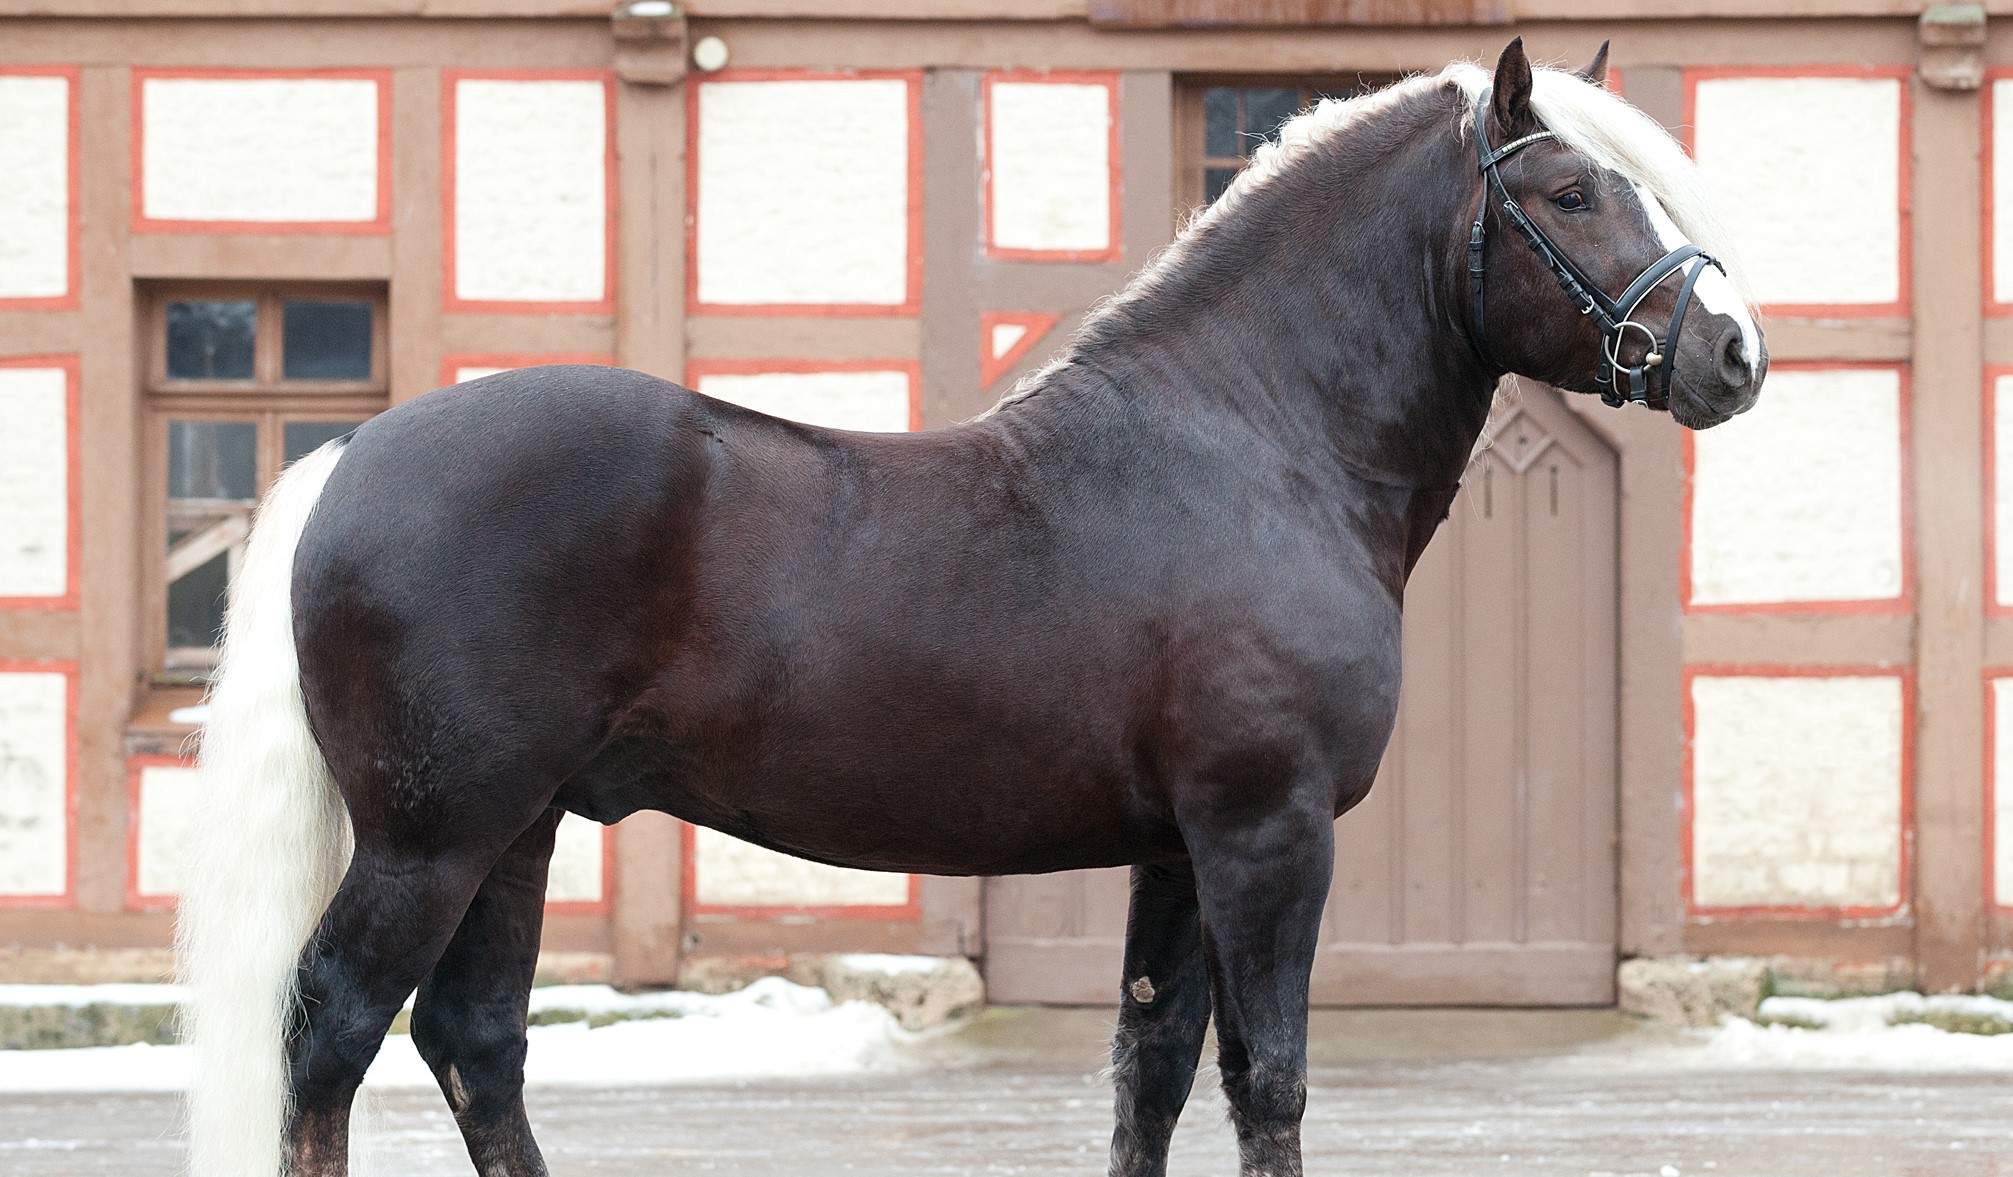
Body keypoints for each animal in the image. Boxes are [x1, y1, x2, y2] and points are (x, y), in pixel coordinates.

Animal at [175, 38, 1765, 1177]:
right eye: (1570, 192)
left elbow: (1151, 1075)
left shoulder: (1178, 849)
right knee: (334, 1031)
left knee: (475, 1041)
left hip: (514, 829)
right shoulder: (1267, 833)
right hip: (432, 838)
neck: (1253, 444)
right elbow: (1269, 1080)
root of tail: (348, 457)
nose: (1733, 355)